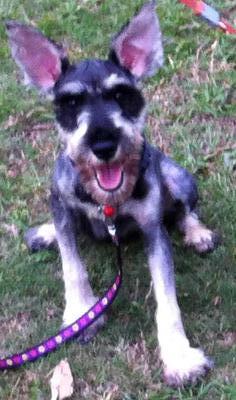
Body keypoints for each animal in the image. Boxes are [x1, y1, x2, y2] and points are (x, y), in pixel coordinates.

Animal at [6, 0, 219, 388]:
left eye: (123, 95)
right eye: (71, 103)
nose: (104, 145)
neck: (106, 203)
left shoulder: (153, 228)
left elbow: (167, 299)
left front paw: (179, 357)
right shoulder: (60, 202)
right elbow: (71, 265)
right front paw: (80, 312)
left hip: (176, 176)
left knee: (186, 209)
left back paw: (198, 233)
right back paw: (45, 233)